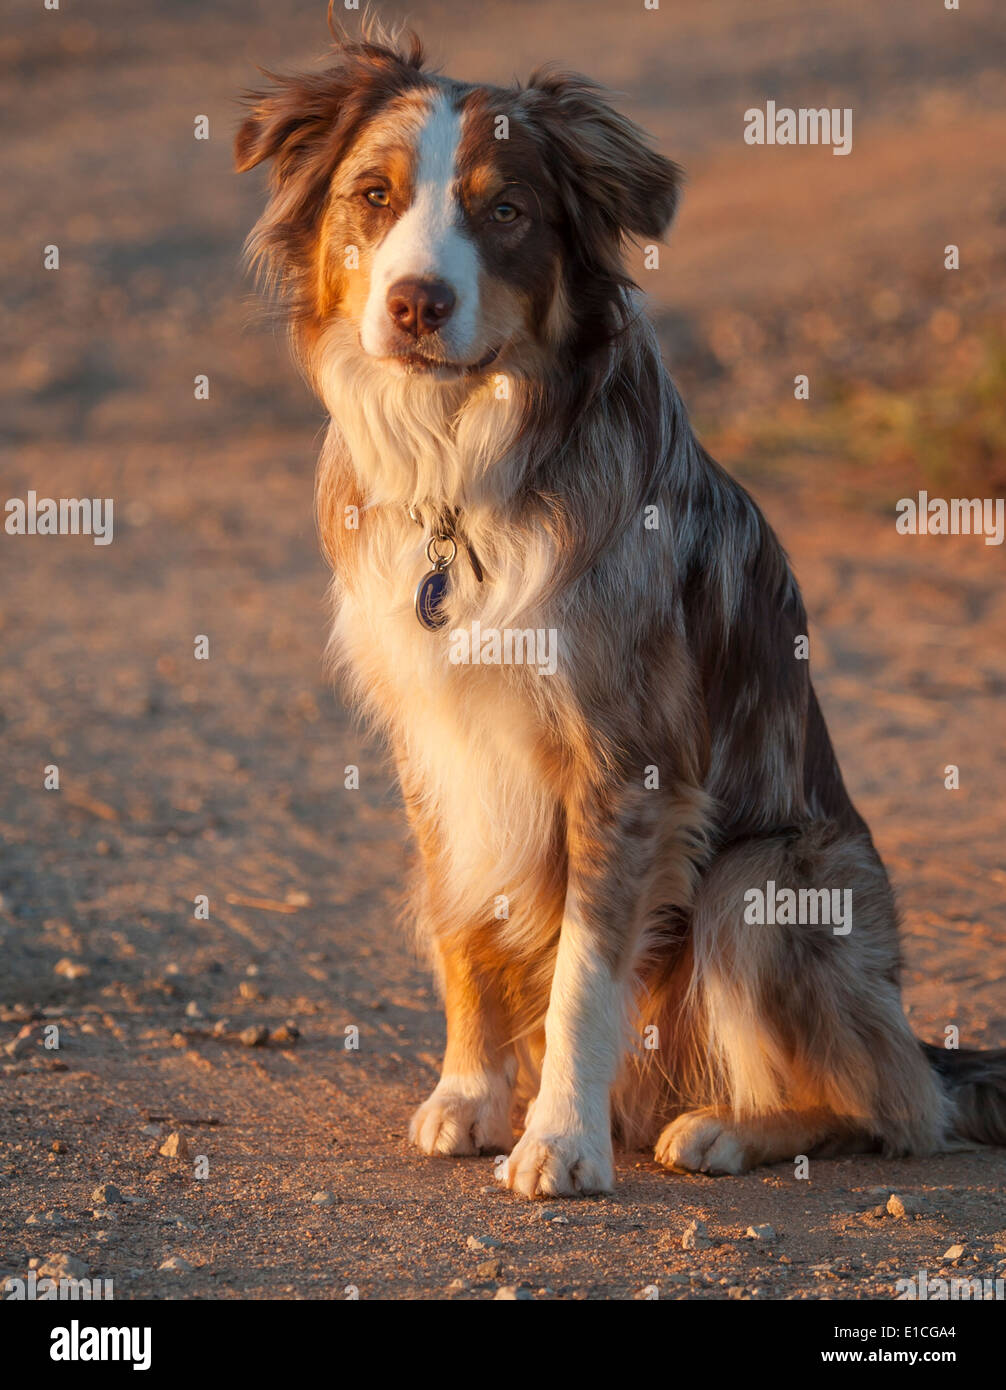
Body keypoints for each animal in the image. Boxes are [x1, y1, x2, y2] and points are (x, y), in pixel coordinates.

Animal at [237, 19, 1006, 1195]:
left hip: (762, 878)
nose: (416, 303)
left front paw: (559, 1137)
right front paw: (471, 1096)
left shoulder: (625, 762)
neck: (466, 459)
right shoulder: (434, 741)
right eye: (372, 195)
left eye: (506, 210)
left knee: (893, 1106)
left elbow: (583, 979)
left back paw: (727, 1127)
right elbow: (464, 925)